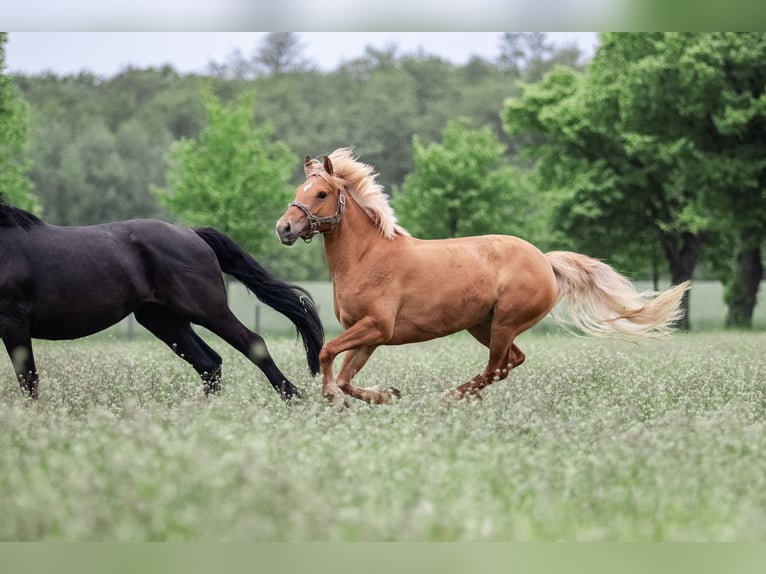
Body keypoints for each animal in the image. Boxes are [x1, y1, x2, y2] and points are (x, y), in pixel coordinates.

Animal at [0, 196, 324, 402]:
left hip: (206, 309)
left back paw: (293, 398)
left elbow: (28, 379)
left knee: (251, 343)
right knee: (209, 362)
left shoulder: (14, 324)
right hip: (163, 319)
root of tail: (192, 233)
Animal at [280, 151, 692, 408]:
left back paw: (450, 397)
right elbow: (345, 375)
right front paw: (385, 395)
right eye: (298, 191)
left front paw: (334, 398)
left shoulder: (376, 327)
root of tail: (545, 261)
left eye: (320, 193)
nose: (284, 228)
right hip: (483, 325)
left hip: (504, 323)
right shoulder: (370, 336)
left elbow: (326, 353)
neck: (367, 257)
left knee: (498, 367)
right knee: (512, 361)